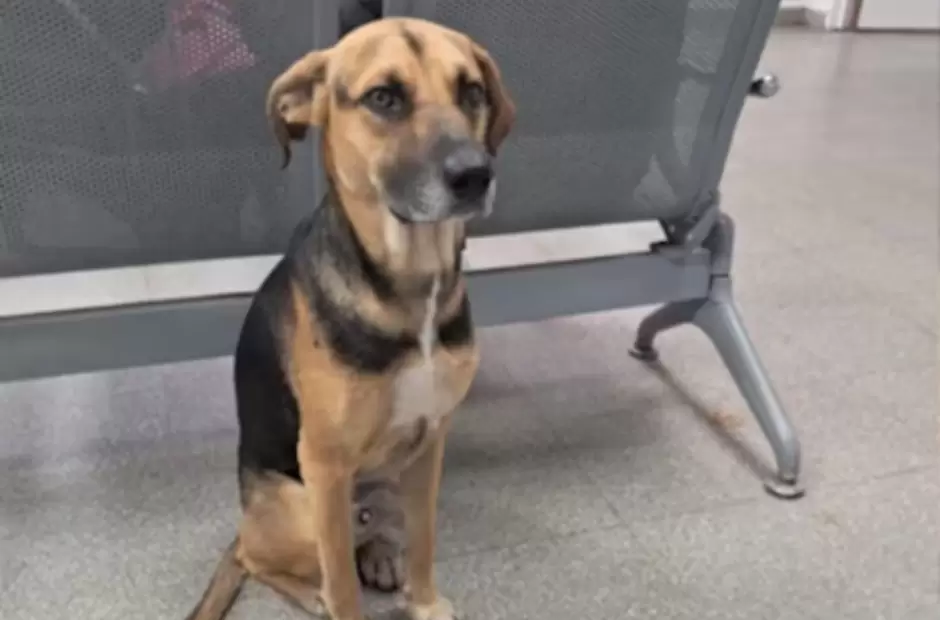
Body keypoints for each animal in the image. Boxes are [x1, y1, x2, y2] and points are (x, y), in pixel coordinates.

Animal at [185, 17, 514, 620]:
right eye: (383, 98)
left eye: (472, 91)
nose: (476, 175)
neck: (412, 284)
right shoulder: (326, 466)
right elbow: (341, 583)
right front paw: (340, 596)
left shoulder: (432, 441)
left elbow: (424, 542)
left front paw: (424, 603)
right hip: (298, 508)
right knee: (254, 557)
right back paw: (307, 590)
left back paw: (381, 555)